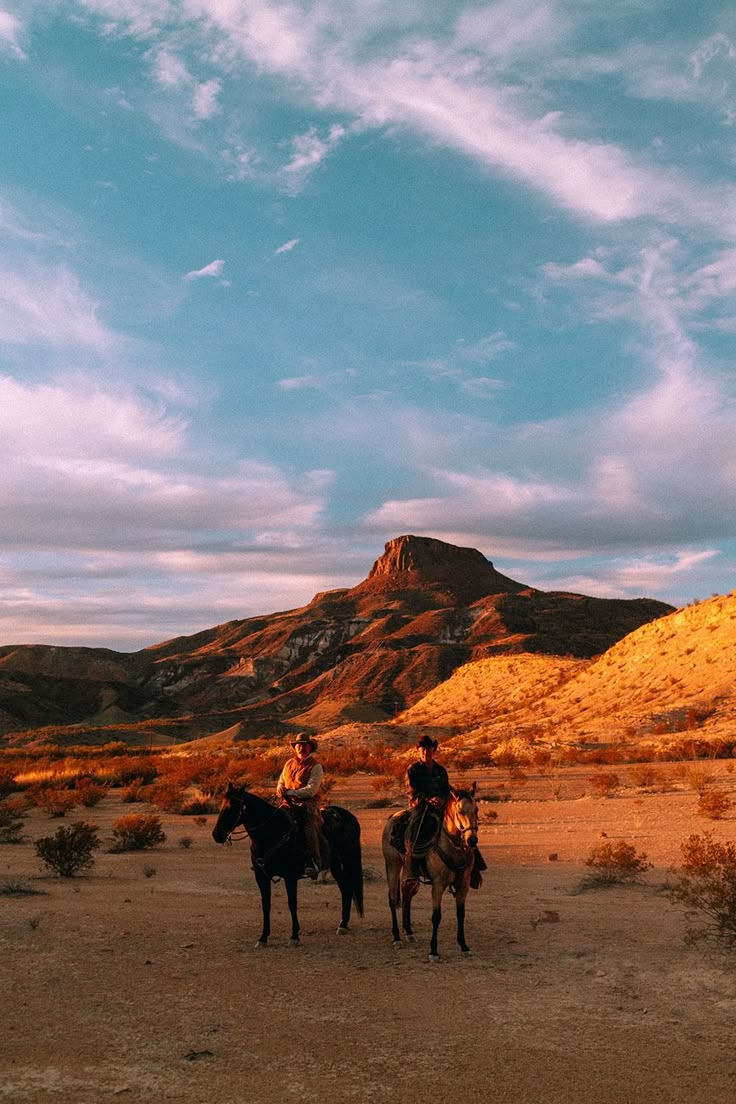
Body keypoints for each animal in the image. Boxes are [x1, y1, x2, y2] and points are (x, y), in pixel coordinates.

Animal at [211, 786, 364, 949]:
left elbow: (292, 903)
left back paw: (343, 925)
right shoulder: (261, 876)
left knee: (347, 888)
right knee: (346, 888)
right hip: (335, 865)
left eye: (233, 807)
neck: (272, 832)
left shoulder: (290, 876)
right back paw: (343, 924)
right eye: (221, 806)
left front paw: (294, 936)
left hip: (347, 860)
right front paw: (263, 937)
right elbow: (266, 905)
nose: (217, 835)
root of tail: (348, 815)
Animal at [384, 786, 481, 958]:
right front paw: (433, 951)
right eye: (460, 811)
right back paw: (396, 937)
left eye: (476, 810)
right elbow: (436, 916)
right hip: (393, 865)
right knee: (393, 899)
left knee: (407, 896)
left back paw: (409, 932)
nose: (472, 840)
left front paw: (464, 946)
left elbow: (461, 914)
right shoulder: (438, 885)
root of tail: (392, 818)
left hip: (410, 874)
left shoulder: (463, 885)